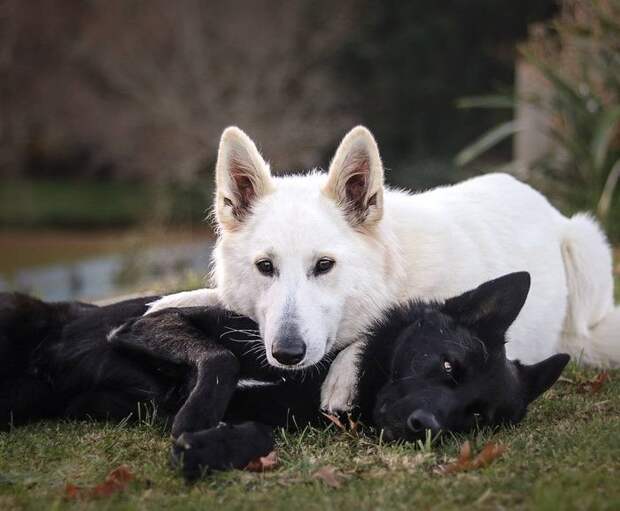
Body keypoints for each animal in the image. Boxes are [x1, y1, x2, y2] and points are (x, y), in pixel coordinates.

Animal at [0, 272, 568, 480]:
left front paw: (207, 447)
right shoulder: (147, 324)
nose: (426, 427)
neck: (326, 371)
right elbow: (222, 362)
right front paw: (191, 424)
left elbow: (258, 432)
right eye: (450, 366)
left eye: (476, 417)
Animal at [149, 126, 620, 414]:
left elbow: (389, 325)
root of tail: (537, 199)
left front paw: (343, 375)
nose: (287, 353)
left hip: (585, 248)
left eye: (324, 265)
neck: (393, 272)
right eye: (265, 267)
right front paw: (170, 301)